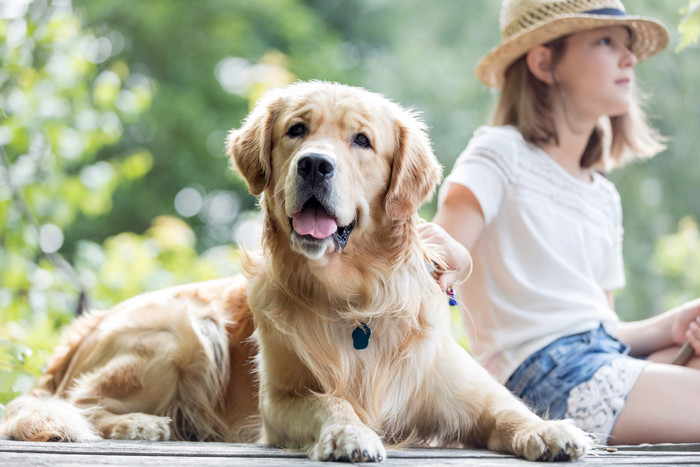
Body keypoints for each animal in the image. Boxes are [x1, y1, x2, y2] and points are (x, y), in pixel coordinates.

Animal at [0, 82, 592, 462]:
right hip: (187, 332)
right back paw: (140, 424)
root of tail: (86, 329)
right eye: (296, 131)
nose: (314, 164)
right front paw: (350, 436)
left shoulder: (466, 393)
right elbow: (332, 400)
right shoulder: (280, 403)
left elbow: (510, 411)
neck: (355, 301)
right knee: (70, 405)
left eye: (361, 140)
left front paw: (551, 430)